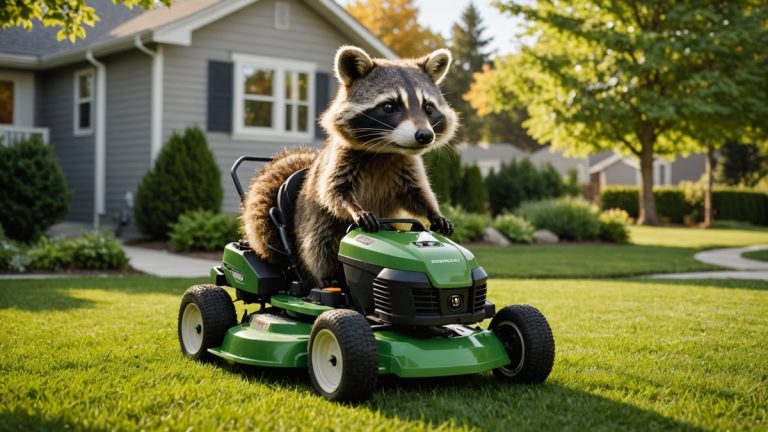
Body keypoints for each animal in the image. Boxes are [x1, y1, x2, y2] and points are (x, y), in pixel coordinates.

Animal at [241, 46, 458, 286]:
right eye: (389, 106)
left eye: (428, 108)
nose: (425, 135)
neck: (385, 151)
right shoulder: (339, 160)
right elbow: (334, 192)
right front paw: (355, 209)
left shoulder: (407, 166)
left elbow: (417, 193)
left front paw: (434, 212)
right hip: (312, 229)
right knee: (318, 244)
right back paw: (326, 279)